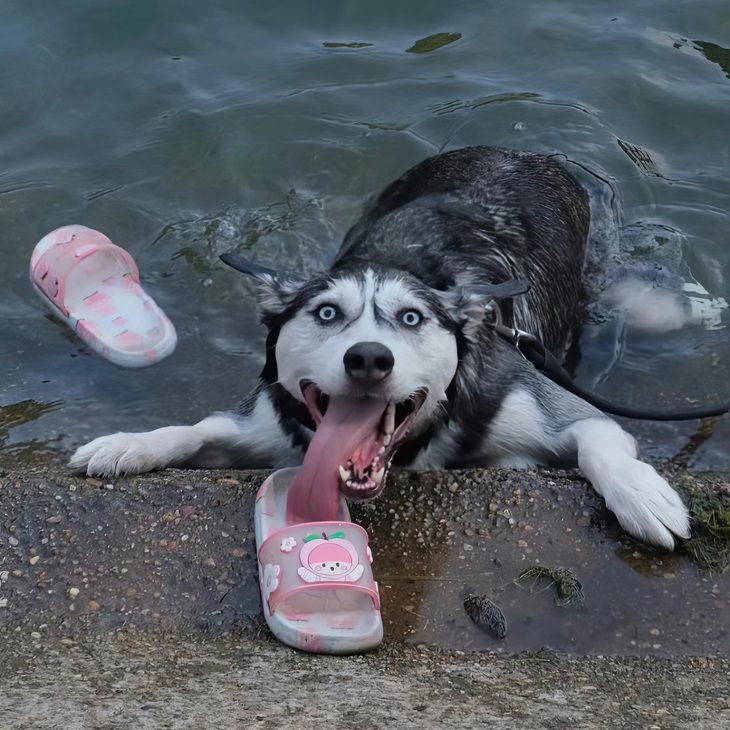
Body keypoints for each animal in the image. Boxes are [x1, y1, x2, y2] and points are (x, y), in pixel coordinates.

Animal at [72, 146, 688, 544]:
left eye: (411, 317)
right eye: (326, 313)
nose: (368, 358)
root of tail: (515, 150)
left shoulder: (548, 406)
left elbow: (598, 440)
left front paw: (641, 494)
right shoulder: (269, 425)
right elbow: (197, 429)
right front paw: (128, 446)